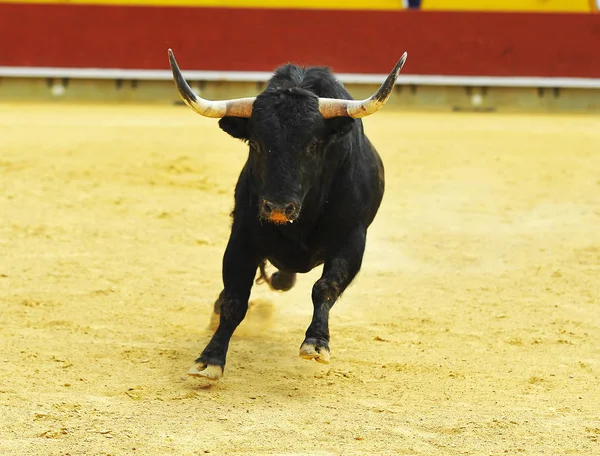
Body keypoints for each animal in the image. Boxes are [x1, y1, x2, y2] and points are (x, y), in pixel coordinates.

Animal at [169, 50, 408, 380]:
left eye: (313, 144)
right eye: (255, 143)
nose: (279, 208)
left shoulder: (352, 239)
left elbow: (325, 287)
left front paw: (316, 342)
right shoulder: (242, 237)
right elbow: (234, 300)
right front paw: (210, 358)